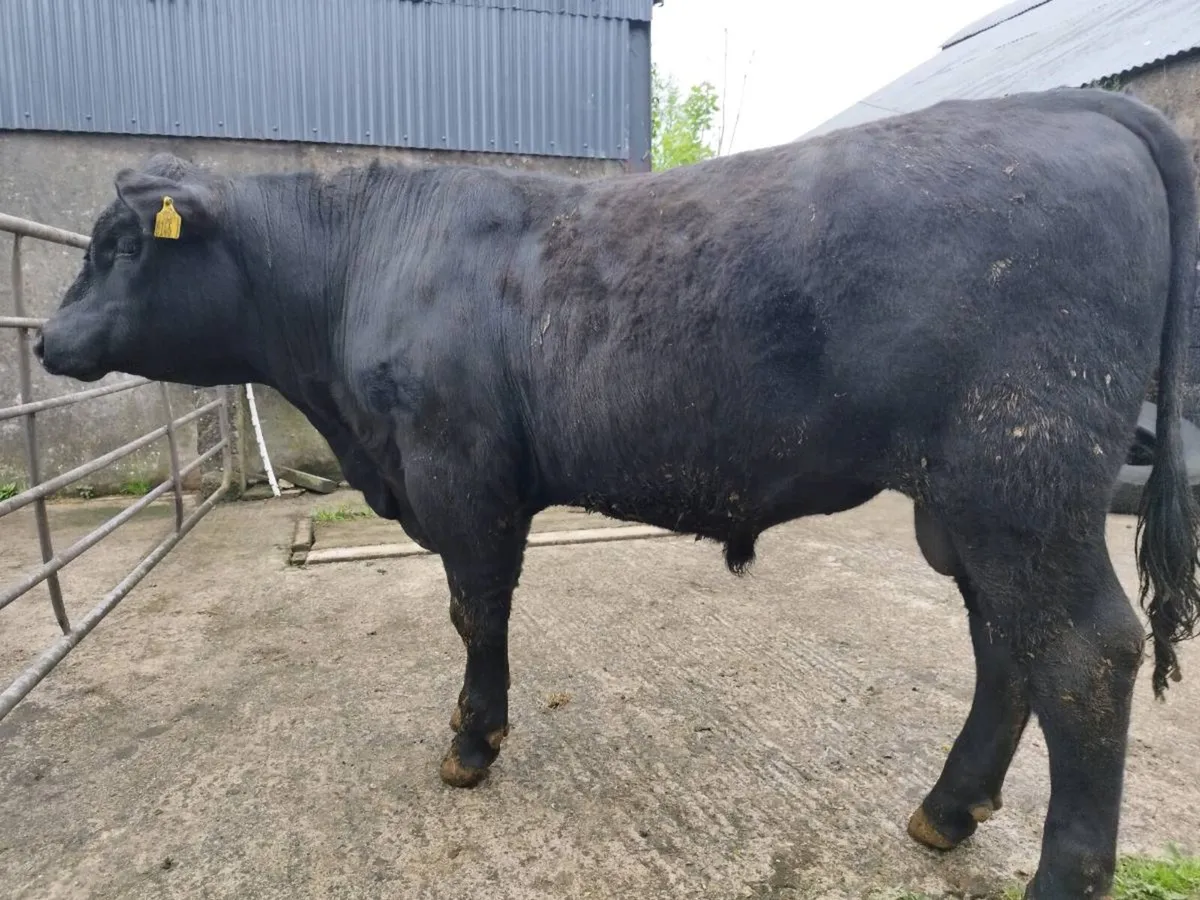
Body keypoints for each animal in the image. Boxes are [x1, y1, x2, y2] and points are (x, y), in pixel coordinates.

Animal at [35, 87, 1200, 899]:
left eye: (122, 243)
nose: (44, 341)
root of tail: (1066, 105)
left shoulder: (460, 471)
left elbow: (477, 610)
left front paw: (472, 743)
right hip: (966, 505)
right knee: (1008, 643)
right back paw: (947, 811)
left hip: (1022, 480)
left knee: (1087, 655)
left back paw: (1054, 869)